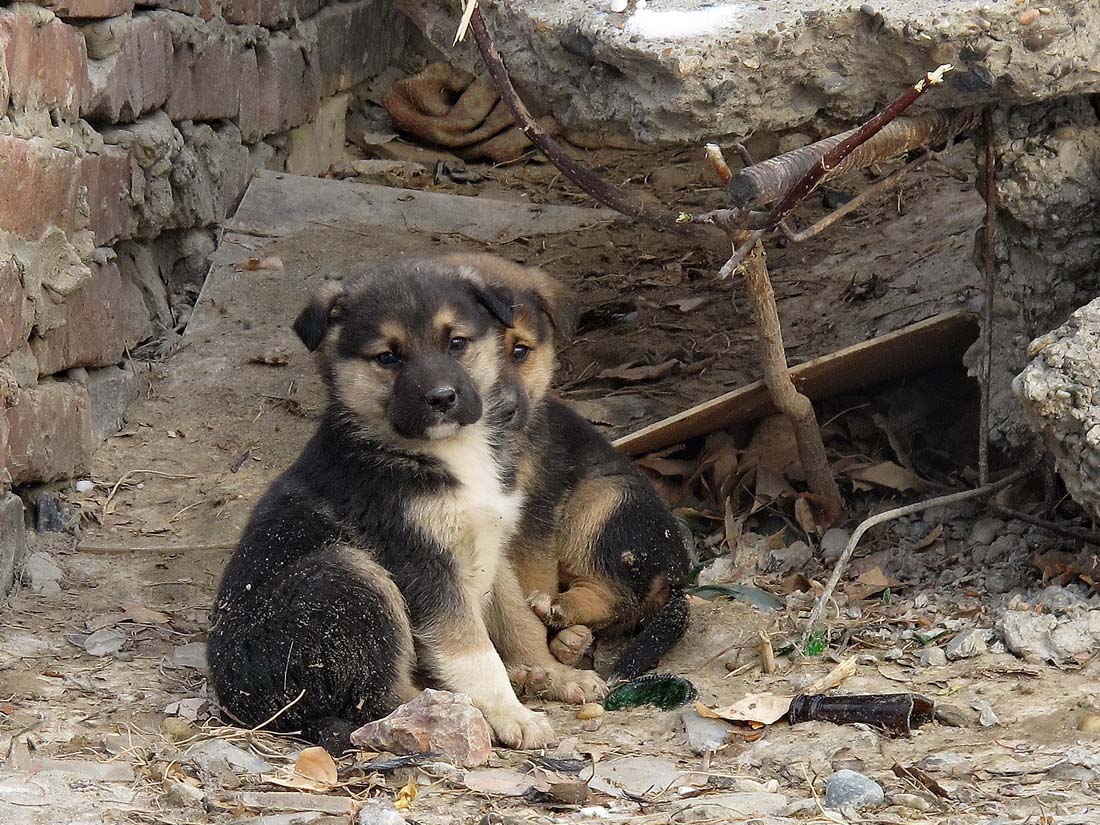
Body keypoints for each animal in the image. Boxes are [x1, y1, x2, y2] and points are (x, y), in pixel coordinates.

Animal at [202, 258, 607, 756]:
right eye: (388, 357)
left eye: (456, 342)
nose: (442, 398)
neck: (446, 452)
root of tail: (244, 705)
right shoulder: (424, 565)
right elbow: (474, 652)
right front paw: (511, 713)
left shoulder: (493, 547)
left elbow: (519, 624)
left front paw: (553, 673)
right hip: (350, 578)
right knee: (379, 700)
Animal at [435, 257, 686, 686]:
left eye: (520, 351)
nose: (504, 411)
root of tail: (677, 575)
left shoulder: (535, 512)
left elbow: (529, 576)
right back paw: (569, 639)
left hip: (603, 500)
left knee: (618, 596)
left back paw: (558, 611)